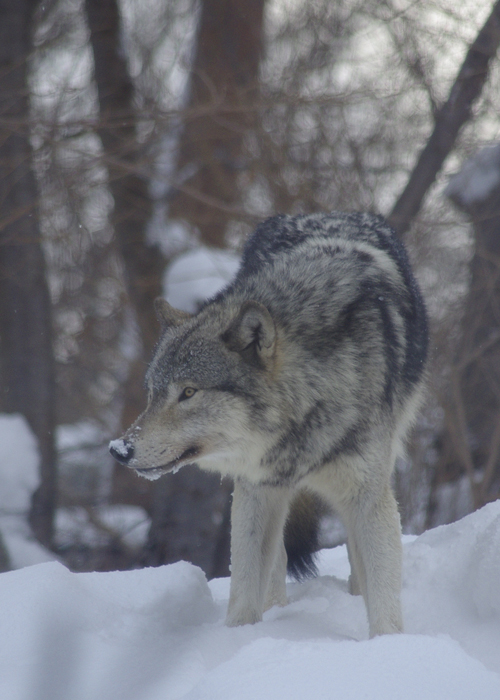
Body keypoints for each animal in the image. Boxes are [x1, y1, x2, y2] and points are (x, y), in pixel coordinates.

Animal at [108, 211, 426, 636]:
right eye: (152, 394)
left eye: (188, 392)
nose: (119, 450)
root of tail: (323, 213)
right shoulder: (256, 490)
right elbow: (244, 589)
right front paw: (240, 639)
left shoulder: (367, 494)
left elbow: (383, 599)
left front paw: (387, 645)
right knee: (275, 565)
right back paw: (277, 612)